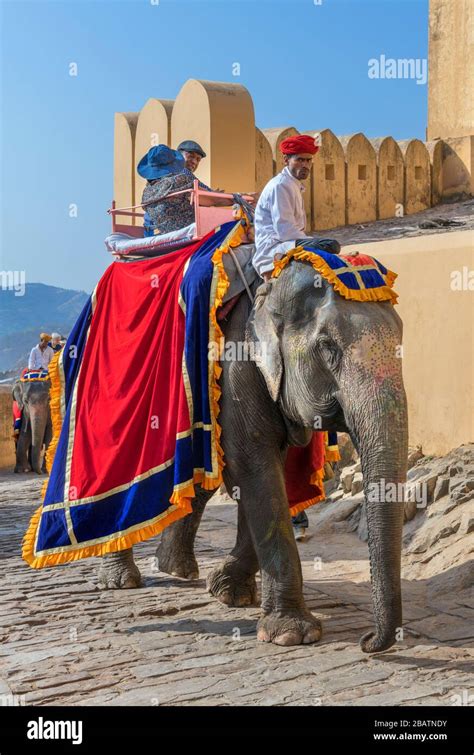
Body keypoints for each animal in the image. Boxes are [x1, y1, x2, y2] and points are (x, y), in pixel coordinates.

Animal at [97, 258, 408, 648]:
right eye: (327, 347)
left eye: (401, 336)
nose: (367, 641)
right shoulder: (236, 367)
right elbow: (255, 468)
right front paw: (291, 634)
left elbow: (267, 474)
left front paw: (229, 592)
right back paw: (121, 579)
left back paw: (176, 568)